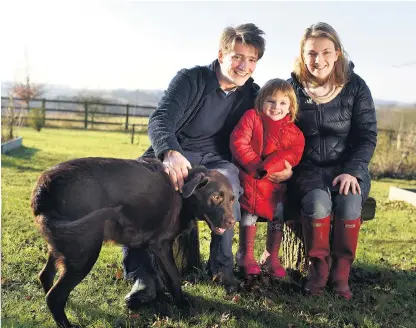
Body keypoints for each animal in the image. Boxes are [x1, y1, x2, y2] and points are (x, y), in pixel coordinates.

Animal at [30, 158, 236, 326]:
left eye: (232, 200)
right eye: (216, 197)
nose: (232, 222)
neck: (184, 193)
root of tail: (43, 188)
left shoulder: (152, 246)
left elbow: (164, 277)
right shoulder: (161, 245)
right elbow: (174, 277)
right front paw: (182, 305)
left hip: (62, 246)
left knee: (45, 277)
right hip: (84, 254)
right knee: (54, 296)